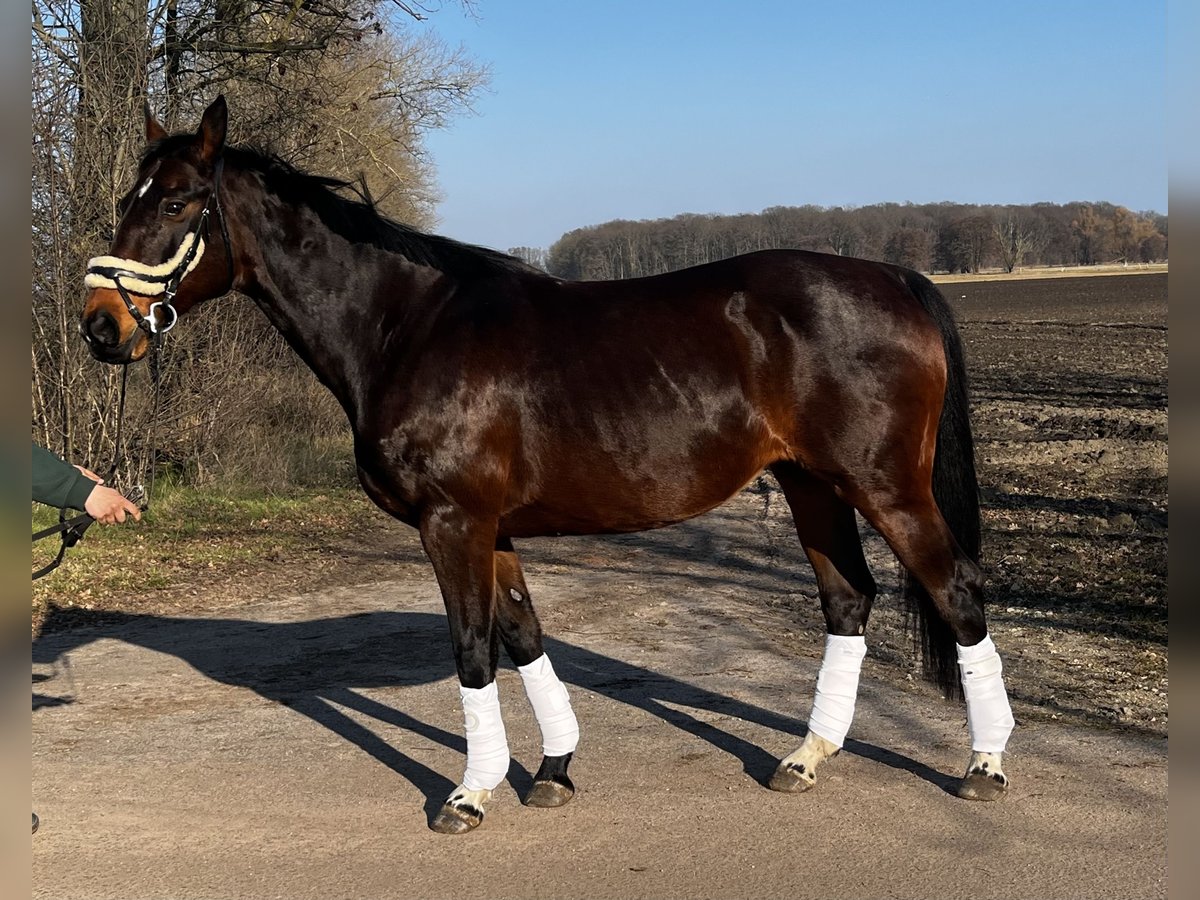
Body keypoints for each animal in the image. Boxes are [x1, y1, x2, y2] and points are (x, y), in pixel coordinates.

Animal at [77, 95, 1012, 835]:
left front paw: (469, 794)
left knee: (956, 590)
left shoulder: (451, 523)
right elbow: (522, 636)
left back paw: (984, 767)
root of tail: (892, 276)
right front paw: (554, 771)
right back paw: (807, 756)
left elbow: (472, 650)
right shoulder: (491, 529)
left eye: (179, 201)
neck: (406, 327)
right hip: (811, 484)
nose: (99, 327)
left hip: (885, 486)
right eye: (130, 197)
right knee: (848, 599)